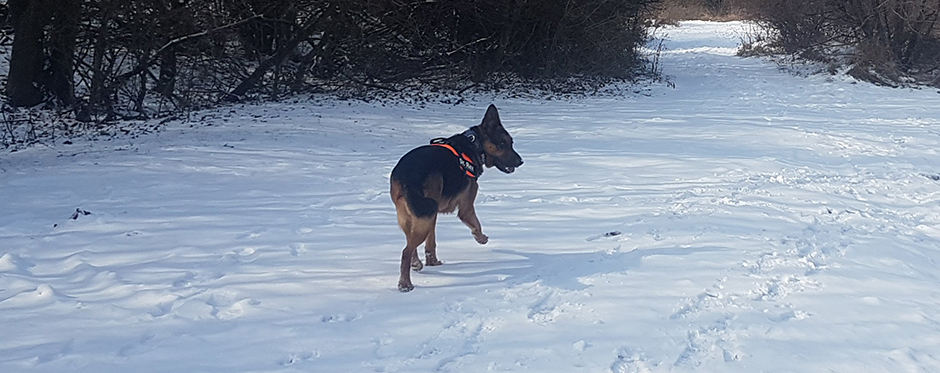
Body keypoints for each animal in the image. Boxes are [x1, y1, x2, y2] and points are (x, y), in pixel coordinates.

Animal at [388, 103, 520, 292]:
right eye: (502, 143)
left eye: (511, 143)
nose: (521, 161)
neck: (474, 145)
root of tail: (406, 177)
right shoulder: (465, 207)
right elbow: (475, 224)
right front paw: (481, 238)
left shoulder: (432, 217)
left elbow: (431, 242)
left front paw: (433, 262)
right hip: (425, 214)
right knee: (406, 251)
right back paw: (405, 284)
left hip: (412, 217)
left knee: (410, 245)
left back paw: (416, 265)